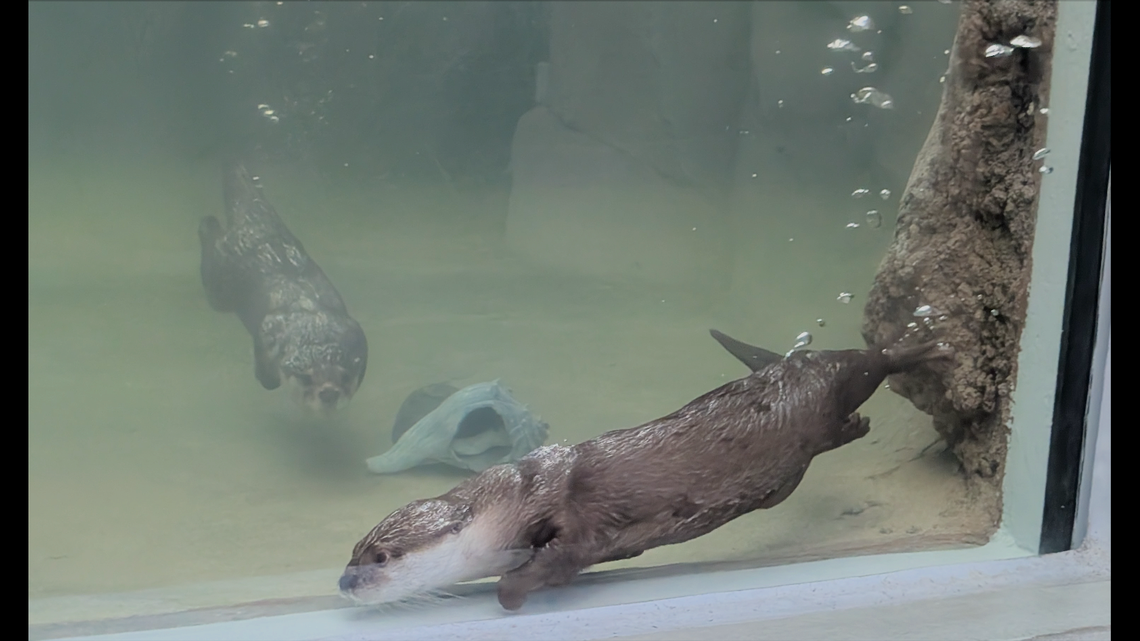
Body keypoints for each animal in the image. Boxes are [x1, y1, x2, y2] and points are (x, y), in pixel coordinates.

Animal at [198, 163, 368, 415]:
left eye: (345, 377)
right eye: (306, 378)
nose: (329, 393)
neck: (313, 321)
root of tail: (255, 226)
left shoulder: (354, 330)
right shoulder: (269, 326)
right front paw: (268, 380)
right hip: (220, 282)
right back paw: (207, 224)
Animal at [339, 329, 951, 610]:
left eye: (382, 557)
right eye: (352, 553)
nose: (344, 582)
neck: (514, 499)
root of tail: (786, 366)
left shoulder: (570, 515)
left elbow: (564, 557)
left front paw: (512, 591)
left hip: (829, 382)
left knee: (869, 360)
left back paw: (926, 349)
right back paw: (860, 424)